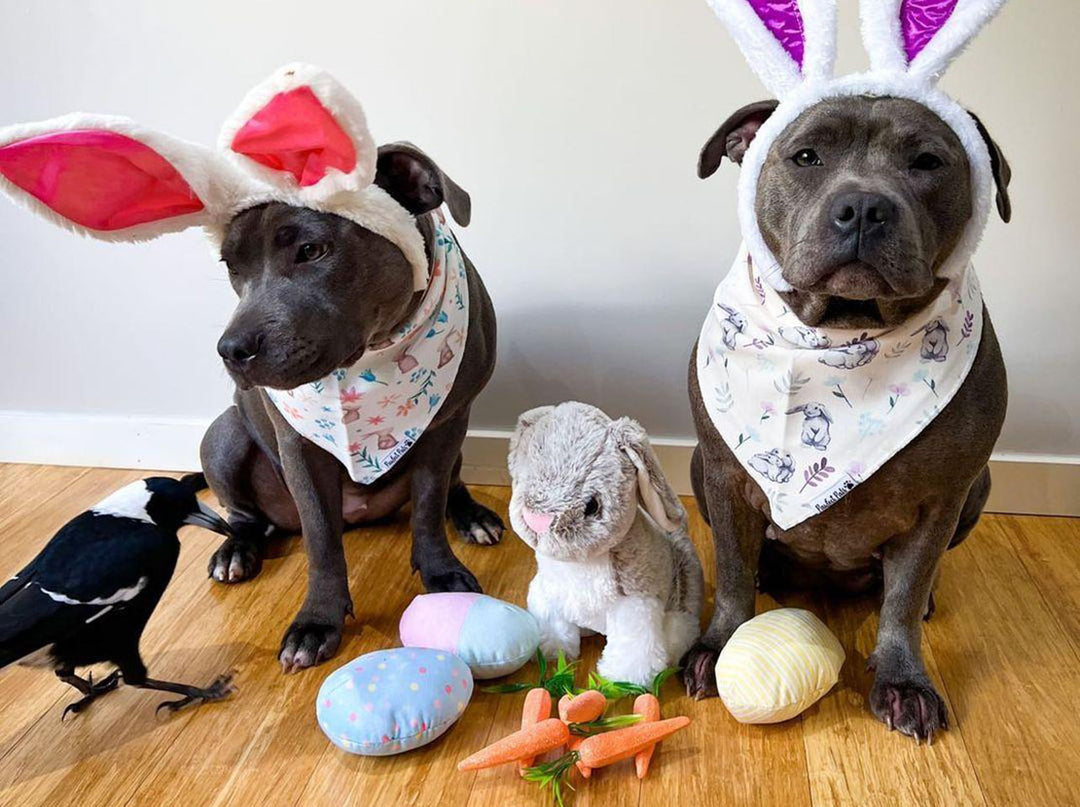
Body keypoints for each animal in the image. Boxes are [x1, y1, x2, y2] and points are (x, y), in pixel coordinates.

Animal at [200, 143, 503, 669]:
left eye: (311, 250)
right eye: (231, 266)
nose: (232, 349)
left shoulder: (446, 424)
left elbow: (429, 506)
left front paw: (441, 574)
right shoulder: (300, 447)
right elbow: (321, 540)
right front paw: (317, 621)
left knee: (452, 484)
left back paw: (472, 516)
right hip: (224, 436)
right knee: (244, 515)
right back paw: (236, 551)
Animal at [682, 96, 1010, 743]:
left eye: (927, 161)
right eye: (806, 156)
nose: (863, 206)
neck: (843, 331)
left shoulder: (944, 497)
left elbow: (905, 593)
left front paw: (905, 680)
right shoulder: (724, 476)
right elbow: (729, 569)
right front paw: (717, 641)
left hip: (979, 488)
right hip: (696, 467)